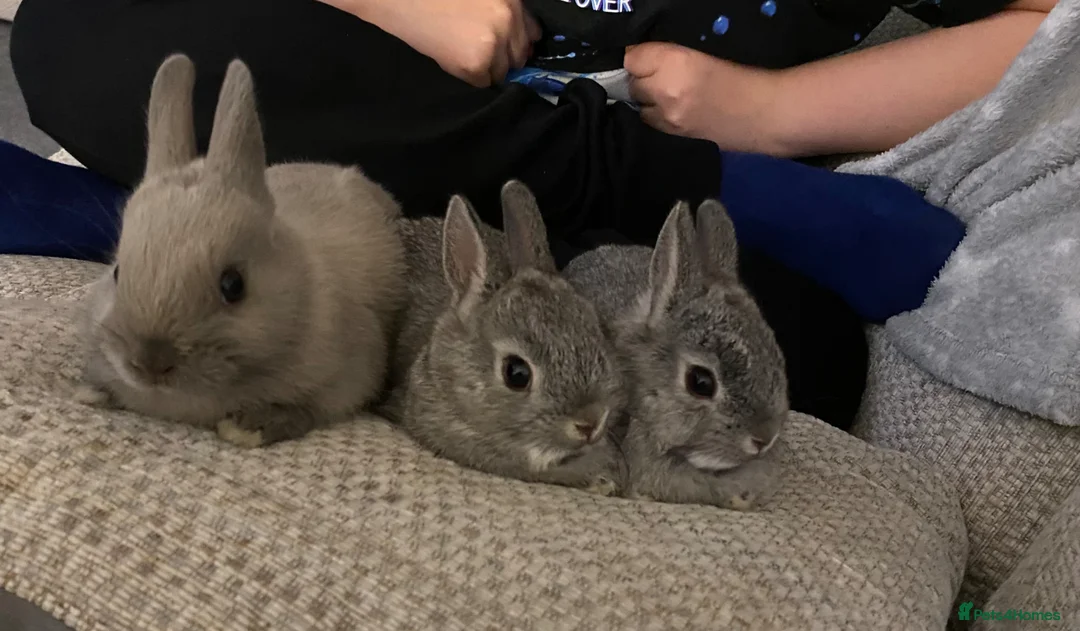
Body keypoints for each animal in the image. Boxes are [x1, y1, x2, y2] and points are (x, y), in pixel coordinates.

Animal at [76, 54, 407, 448]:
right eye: (117, 272)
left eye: (233, 285)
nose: (149, 363)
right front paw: (94, 391)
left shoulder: (347, 376)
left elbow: (304, 410)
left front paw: (246, 428)